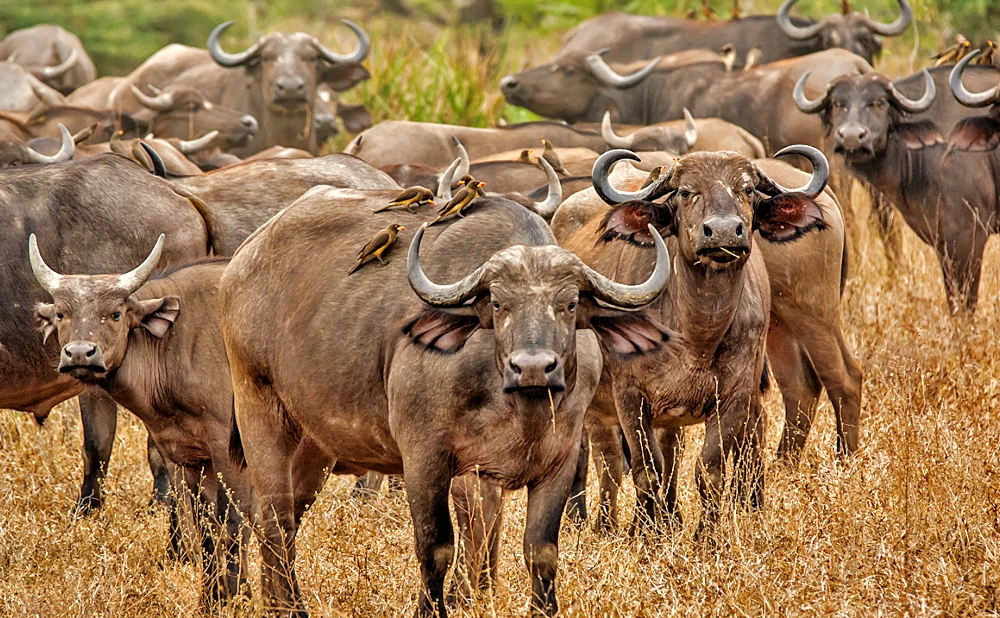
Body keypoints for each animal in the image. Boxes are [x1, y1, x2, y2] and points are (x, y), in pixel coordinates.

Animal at [219, 186, 672, 612]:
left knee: (285, 521)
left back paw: (277, 603)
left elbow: (540, 552)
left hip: (317, 443)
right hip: (259, 410)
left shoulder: (557, 461)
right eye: (497, 303)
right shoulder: (425, 459)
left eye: (571, 304)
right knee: (275, 519)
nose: (532, 367)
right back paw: (289, 607)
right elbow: (436, 549)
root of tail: (244, 259)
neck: (517, 408)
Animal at [796, 65, 1000, 312]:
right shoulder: (941, 242)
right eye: (836, 103)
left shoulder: (969, 236)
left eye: (879, 102)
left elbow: (966, 301)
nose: (852, 137)